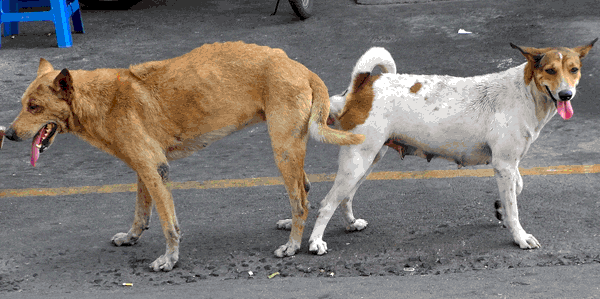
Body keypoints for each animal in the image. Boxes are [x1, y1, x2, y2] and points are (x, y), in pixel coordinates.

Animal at [3, 41, 366, 274]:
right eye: (23, 104)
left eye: (34, 107)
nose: (8, 135)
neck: (101, 100)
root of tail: (301, 67)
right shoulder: (143, 168)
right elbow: (141, 211)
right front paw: (132, 237)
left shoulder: (155, 168)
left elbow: (168, 224)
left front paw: (169, 260)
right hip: (289, 149)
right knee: (303, 189)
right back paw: (297, 225)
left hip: (284, 150)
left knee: (301, 200)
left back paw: (292, 245)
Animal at [308, 39, 596, 255]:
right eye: (550, 71)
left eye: (573, 69)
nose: (566, 95)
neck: (526, 91)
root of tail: (364, 82)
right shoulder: (503, 164)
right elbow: (515, 207)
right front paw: (519, 236)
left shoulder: (509, 164)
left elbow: (517, 188)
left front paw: (500, 208)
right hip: (357, 160)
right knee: (327, 202)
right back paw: (315, 242)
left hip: (369, 158)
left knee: (345, 197)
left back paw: (350, 223)